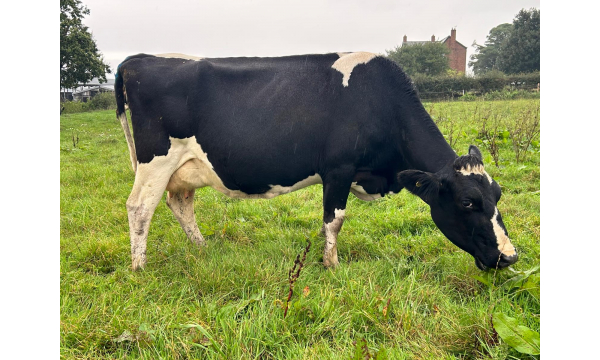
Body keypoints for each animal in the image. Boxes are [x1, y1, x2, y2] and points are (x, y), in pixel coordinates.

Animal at [115, 50, 516, 270]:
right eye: (467, 201)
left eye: (497, 195)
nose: (510, 257)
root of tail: (139, 59)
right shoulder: (338, 169)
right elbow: (334, 220)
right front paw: (331, 265)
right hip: (156, 159)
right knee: (140, 207)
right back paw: (139, 267)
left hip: (185, 167)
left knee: (180, 203)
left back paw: (202, 249)